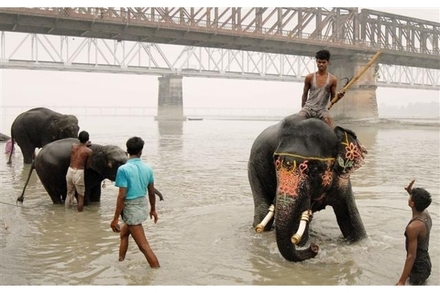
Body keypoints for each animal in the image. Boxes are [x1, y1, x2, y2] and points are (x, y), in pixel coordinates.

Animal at [17, 137, 165, 204]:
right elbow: (85, 193)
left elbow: (96, 193)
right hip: (44, 173)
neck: (102, 147)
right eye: (113, 165)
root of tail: (35, 160)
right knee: (54, 195)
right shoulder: (86, 171)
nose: (162, 199)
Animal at [248, 113, 368, 262]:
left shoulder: (342, 179)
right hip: (253, 169)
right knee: (263, 209)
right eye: (276, 165)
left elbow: (351, 219)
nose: (315, 247)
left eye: (315, 168)